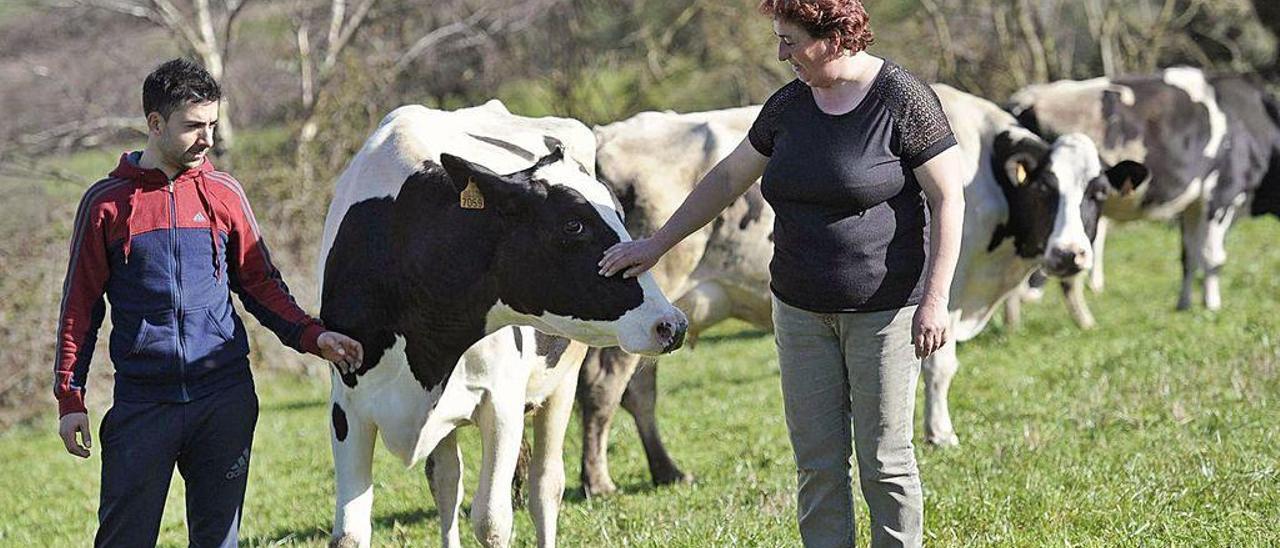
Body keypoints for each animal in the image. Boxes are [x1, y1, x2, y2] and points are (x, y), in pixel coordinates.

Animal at [317, 99, 691, 548]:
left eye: (620, 216)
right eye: (573, 225)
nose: (671, 324)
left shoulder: (501, 404)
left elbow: (492, 521)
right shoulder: (347, 409)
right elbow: (350, 533)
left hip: (560, 381)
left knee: (546, 484)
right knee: (447, 482)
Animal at [1008, 66, 1280, 309]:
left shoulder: (1193, 203)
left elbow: (1190, 254)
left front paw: (1185, 305)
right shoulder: (1224, 193)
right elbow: (1213, 256)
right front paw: (1212, 305)